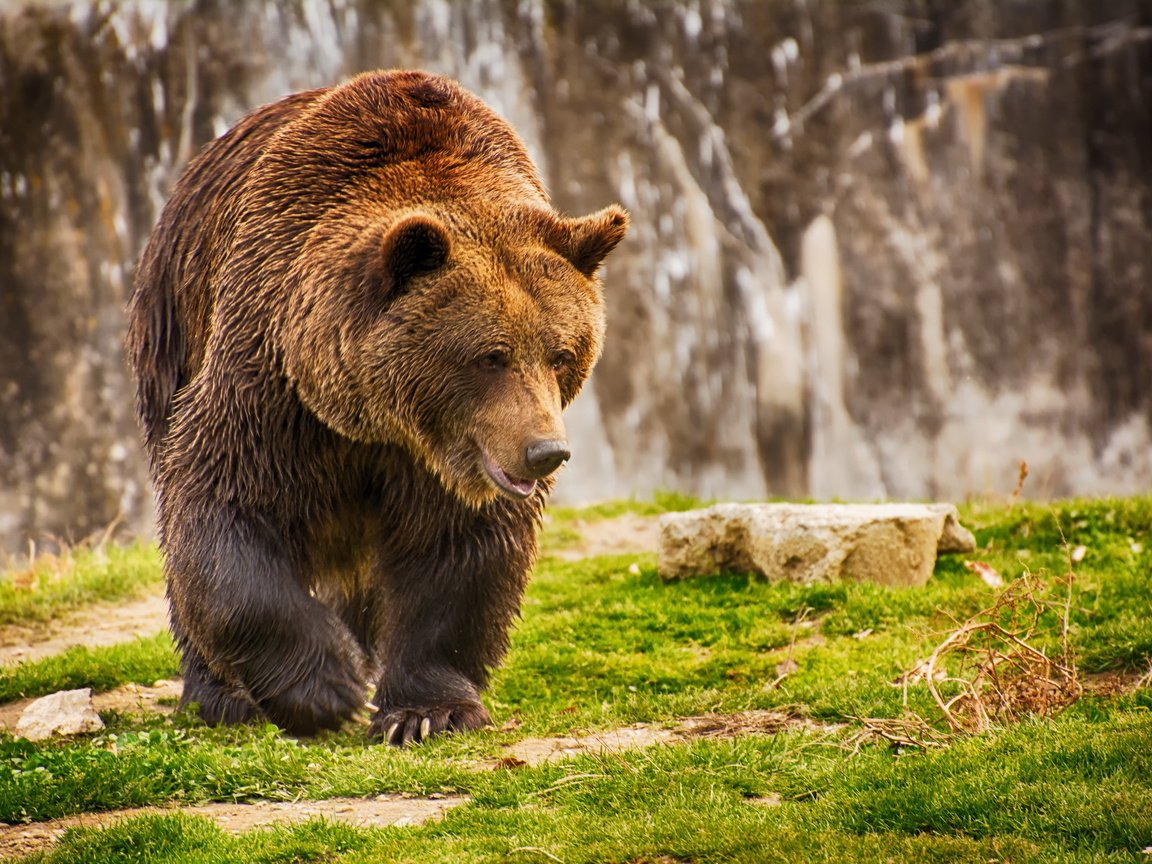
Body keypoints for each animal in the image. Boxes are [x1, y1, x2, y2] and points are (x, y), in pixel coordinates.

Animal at [127, 69, 631, 746]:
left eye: (561, 353)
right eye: (491, 356)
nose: (545, 452)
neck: (375, 420)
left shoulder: (446, 462)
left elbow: (457, 552)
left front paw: (424, 712)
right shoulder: (271, 382)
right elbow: (223, 507)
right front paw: (324, 687)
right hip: (173, 324)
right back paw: (221, 695)